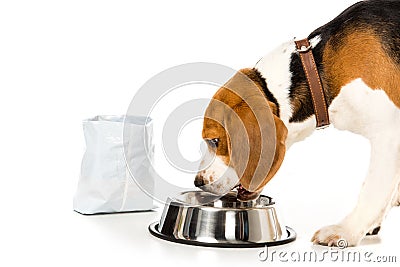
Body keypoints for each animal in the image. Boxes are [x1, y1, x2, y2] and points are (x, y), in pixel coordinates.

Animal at [195, 0, 400, 247]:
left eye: (215, 141)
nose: (198, 182)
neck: (316, 71)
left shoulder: (388, 134)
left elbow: (372, 190)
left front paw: (346, 231)